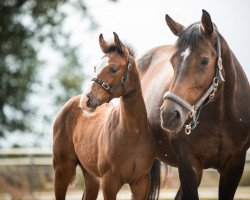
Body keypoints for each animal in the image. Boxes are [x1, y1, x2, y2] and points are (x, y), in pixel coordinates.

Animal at [53, 32, 159, 199]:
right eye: (95, 67)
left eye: (113, 69)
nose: (86, 101)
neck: (133, 133)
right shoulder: (109, 182)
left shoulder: (141, 183)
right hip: (62, 169)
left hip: (91, 177)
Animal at [139, 9, 250, 200]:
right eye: (172, 61)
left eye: (205, 60)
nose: (169, 115)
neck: (221, 118)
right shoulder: (188, 165)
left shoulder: (235, 165)